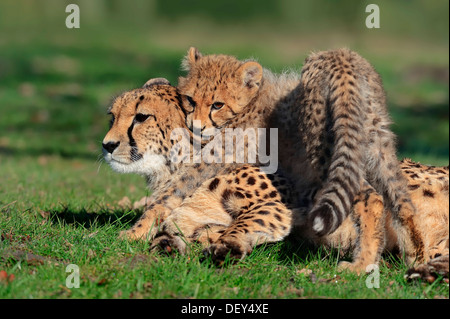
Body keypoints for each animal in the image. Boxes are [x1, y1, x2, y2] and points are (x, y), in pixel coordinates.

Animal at [102, 80, 446, 278]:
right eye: (112, 115)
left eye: (141, 117)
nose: (107, 145)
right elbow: (184, 230)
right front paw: (168, 243)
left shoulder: (289, 204)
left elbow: (244, 222)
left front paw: (226, 245)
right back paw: (428, 272)